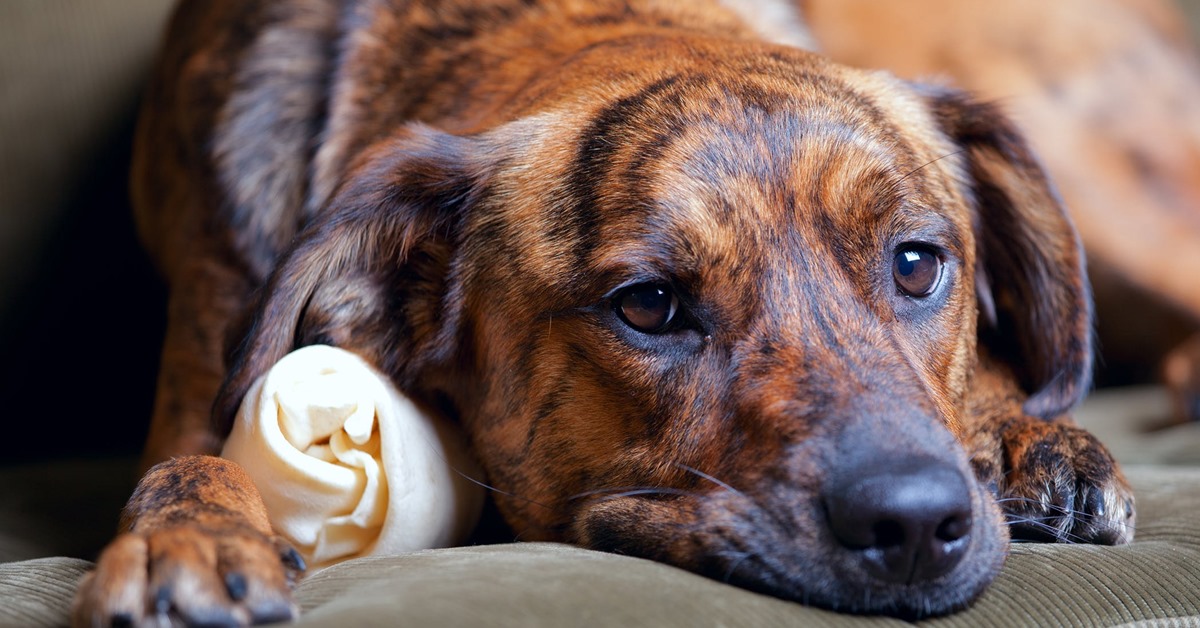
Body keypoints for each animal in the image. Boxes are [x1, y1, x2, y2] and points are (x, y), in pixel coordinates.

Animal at [70, 2, 1137, 624]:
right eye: (651, 306)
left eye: (917, 264)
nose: (914, 523)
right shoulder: (203, 386)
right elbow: (191, 463)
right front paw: (191, 535)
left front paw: (1020, 433)